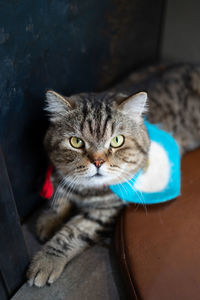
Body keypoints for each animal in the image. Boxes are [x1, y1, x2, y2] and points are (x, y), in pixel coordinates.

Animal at [27, 62, 200, 286]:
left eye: (117, 141)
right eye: (76, 142)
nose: (98, 162)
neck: (86, 190)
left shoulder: (104, 210)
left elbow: (71, 233)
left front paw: (46, 260)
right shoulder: (61, 175)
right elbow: (58, 196)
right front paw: (48, 219)